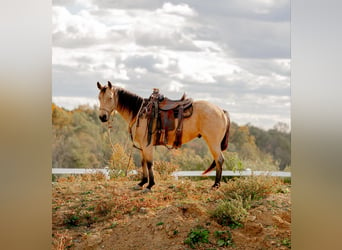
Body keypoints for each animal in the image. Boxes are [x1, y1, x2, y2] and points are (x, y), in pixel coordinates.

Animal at [96, 81, 230, 191]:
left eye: (110, 97)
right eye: (99, 98)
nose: (102, 117)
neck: (140, 112)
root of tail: (221, 111)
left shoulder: (147, 145)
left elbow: (150, 163)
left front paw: (150, 185)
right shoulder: (142, 147)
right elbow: (143, 162)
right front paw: (142, 183)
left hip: (213, 142)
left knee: (219, 159)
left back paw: (216, 185)